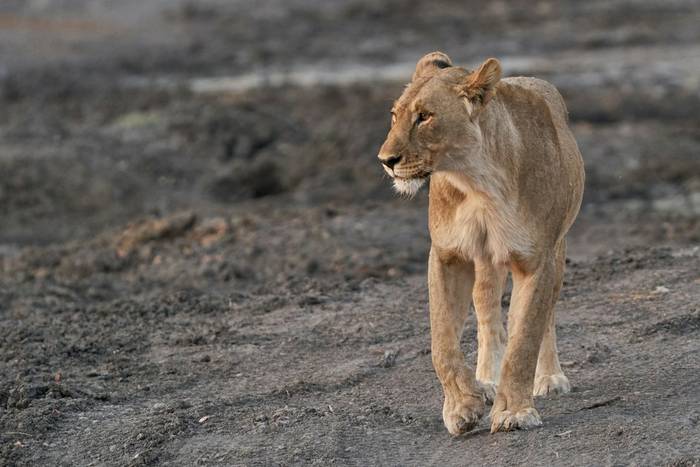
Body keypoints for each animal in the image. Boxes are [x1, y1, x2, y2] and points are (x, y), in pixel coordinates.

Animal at [377, 52, 585, 434]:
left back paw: (549, 377)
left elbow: (524, 338)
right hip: (486, 260)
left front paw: (514, 411)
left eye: (425, 116)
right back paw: (486, 380)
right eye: (395, 115)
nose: (386, 161)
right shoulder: (447, 256)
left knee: (546, 313)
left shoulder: (537, 259)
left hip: (557, 249)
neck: (475, 183)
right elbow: (442, 342)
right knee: (486, 310)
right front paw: (462, 405)